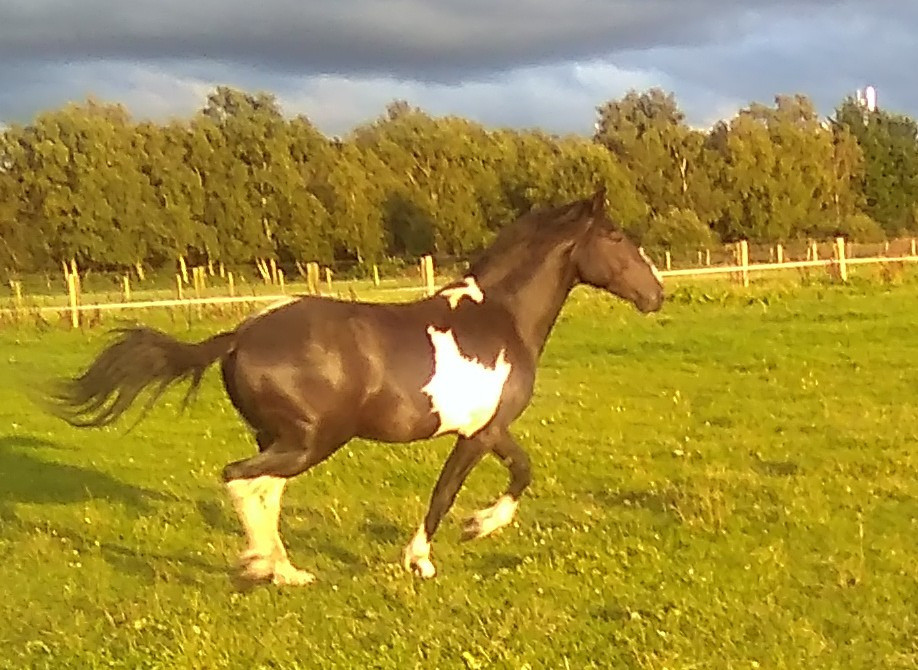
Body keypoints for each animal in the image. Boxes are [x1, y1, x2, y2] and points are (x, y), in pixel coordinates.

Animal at [45, 187, 664, 586]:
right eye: (614, 235)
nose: (656, 294)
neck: (498, 320)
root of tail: (240, 335)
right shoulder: (479, 434)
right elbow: (452, 492)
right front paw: (430, 554)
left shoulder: (491, 428)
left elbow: (521, 472)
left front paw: (473, 529)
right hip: (311, 441)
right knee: (240, 481)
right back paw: (260, 564)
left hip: (283, 440)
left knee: (265, 492)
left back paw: (288, 571)